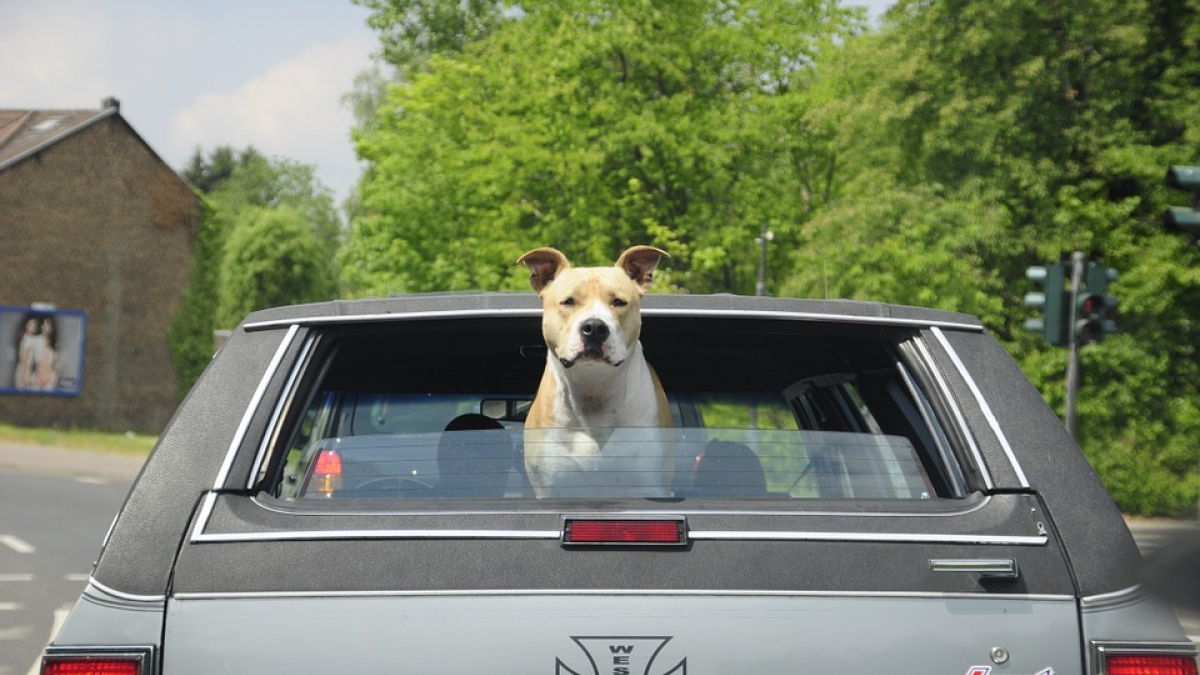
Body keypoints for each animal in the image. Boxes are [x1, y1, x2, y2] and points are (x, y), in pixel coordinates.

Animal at [518, 243, 676, 497]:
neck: (594, 386)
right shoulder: (548, 488)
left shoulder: (653, 485)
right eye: (568, 302)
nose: (594, 327)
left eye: (619, 302)